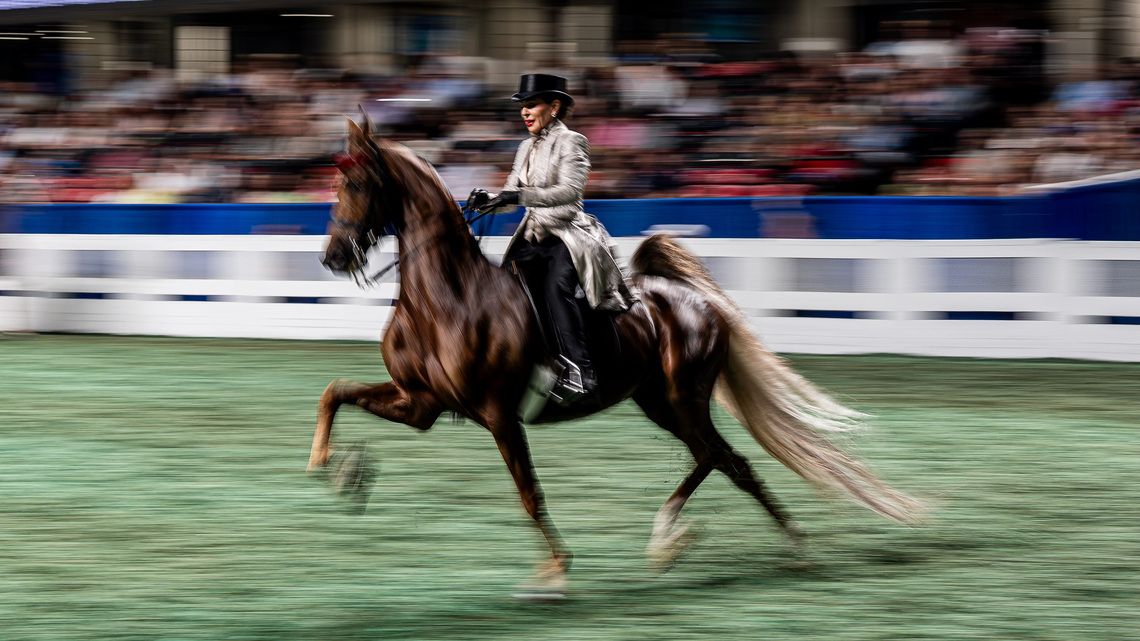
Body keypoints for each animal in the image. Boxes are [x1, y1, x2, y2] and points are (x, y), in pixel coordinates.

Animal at [310, 117, 924, 589]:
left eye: (359, 183)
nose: (333, 257)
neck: (445, 298)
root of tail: (698, 301)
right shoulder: (422, 403)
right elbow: (335, 392)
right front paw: (339, 469)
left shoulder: (497, 414)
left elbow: (529, 494)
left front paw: (556, 571)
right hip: (656, 401)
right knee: (727, 462)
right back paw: (751, 544)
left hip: (684, 398)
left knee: (719, 458)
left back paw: (698, 539)